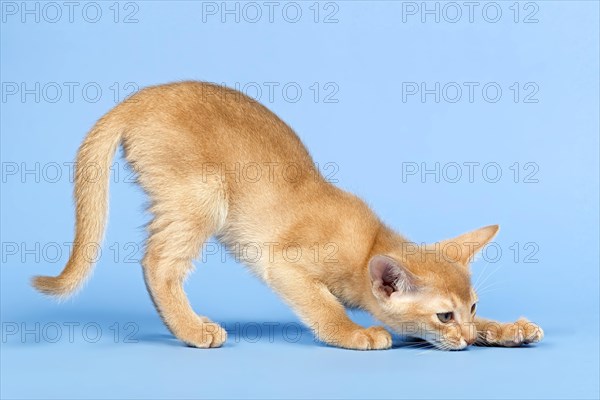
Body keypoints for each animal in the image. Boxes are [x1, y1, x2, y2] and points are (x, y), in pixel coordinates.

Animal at [35, 80, 548, 350]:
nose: (465, 334)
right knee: (158, 264)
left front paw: (505, 329)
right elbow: (324, 306)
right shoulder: (283, 263)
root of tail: (141, 96)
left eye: (472, 307)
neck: (368, 241)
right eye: (444, 316)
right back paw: (192, 329)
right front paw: (355, 332)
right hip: (202, 194)